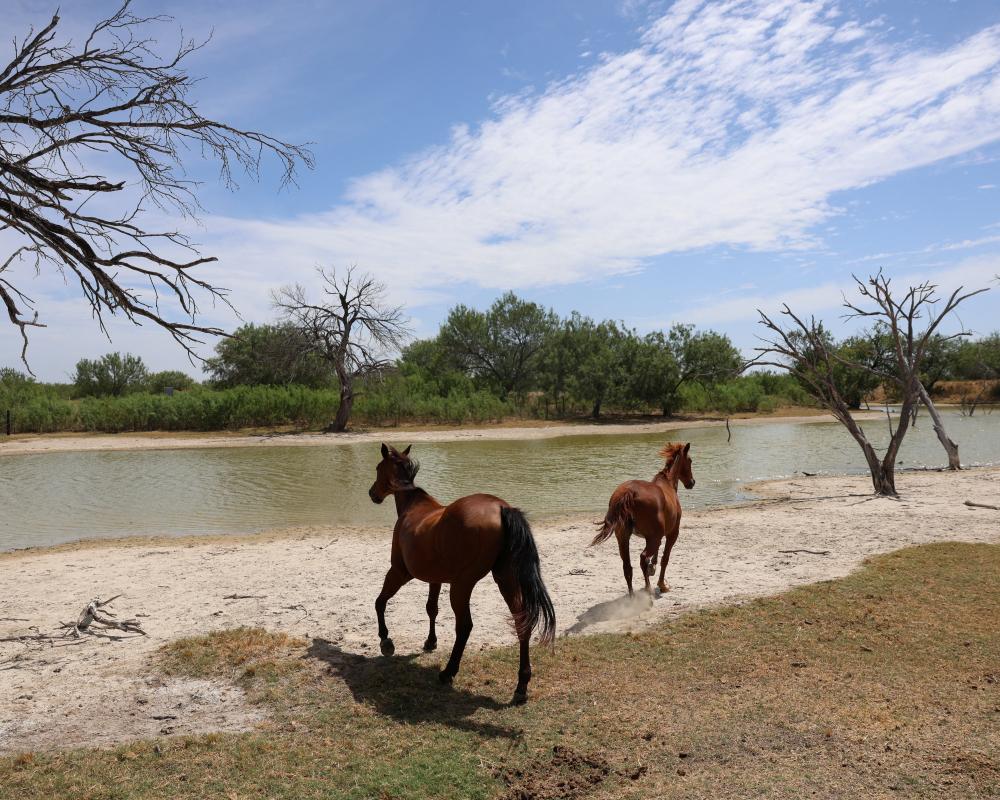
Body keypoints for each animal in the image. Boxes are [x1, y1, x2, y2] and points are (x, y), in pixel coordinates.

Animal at [368, 443, 556, 701]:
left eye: (378, 468)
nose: (372, 493)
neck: (414, 506)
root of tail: (501, 508)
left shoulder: (398, 572)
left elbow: (380, 601)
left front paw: (385, 640)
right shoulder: (435, 579)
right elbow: (431, 609)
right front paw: (430, 642)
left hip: (461, 585)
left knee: (465, 626)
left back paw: (448, 672)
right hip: (505, 580)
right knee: (522, 621)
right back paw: (521, 687)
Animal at [591, 442, 695, 596]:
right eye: (690, 461)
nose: (692, 482)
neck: (668, 483)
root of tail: (629, 492)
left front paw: (653, 567)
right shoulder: (672, 533)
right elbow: (665, 558)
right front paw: (662, 584)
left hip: (623, 538)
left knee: (627, 566)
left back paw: (632, 596)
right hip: (652, 538)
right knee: (642, 558)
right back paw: (648, 589)